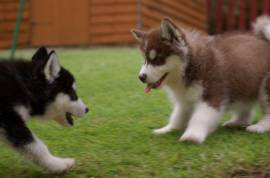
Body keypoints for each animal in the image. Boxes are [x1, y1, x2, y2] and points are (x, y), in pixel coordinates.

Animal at [132, 16, 270, 143]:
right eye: (145, 60)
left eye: (157, 59)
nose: (141, 77)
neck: (190, 66)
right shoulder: (185, 100)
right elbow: (177, 117)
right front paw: (166, 129)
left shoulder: (212, 95)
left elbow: (199, 117)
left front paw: (192, 135)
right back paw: (236, 122)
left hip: (265, 87)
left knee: (267, 112)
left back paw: (259, 127)